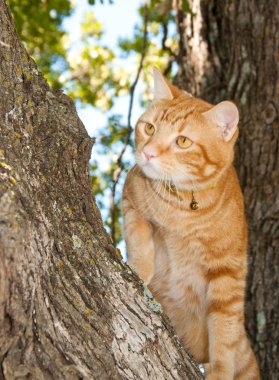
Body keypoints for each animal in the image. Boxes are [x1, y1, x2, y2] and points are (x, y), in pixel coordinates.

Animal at [122, 68, 260, 380]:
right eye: (149, 128)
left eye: (183, 141)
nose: (148, 153)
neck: (183, 207)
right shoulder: (131, 202)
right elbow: (140, 242)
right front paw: (139, 271)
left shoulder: (227, 272)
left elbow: (222, 332)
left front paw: (220, 371)